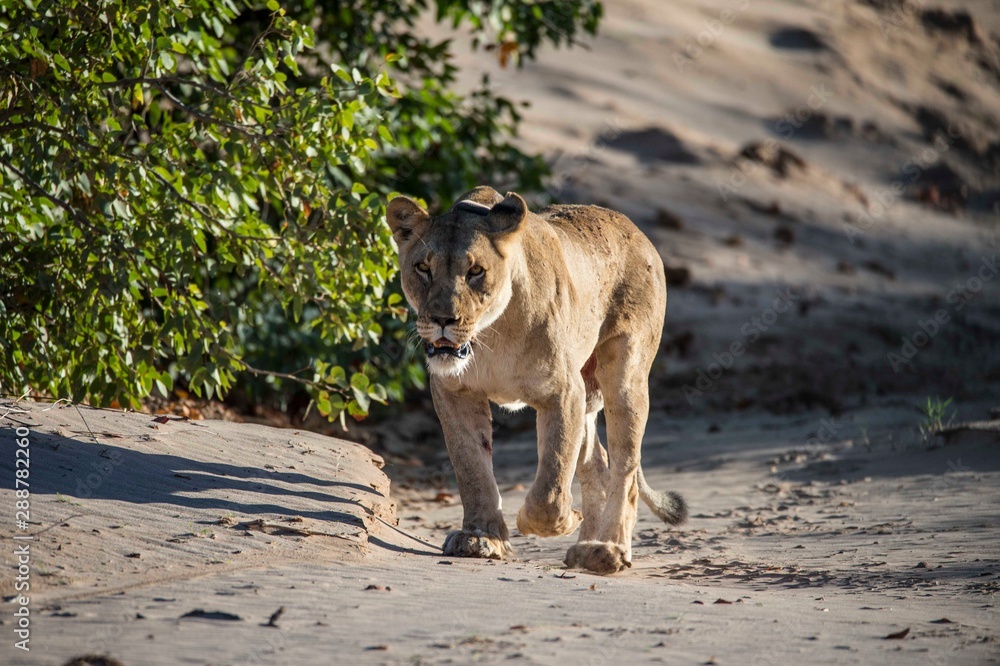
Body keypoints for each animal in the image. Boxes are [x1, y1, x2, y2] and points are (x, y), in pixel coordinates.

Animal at [386, 186, 687, 574]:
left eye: (476, 271)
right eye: (423, 267)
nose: (442, 319)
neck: (490, 335)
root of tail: (634, 228)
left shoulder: (564, 392)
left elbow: (551, 485)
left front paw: (557, 519)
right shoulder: (455, 391)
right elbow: (472, 468)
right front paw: (481, 538)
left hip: (624, 376)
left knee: (625, 467)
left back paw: (607, 549)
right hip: (588, 394)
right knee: (597, 463)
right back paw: (585, 547)